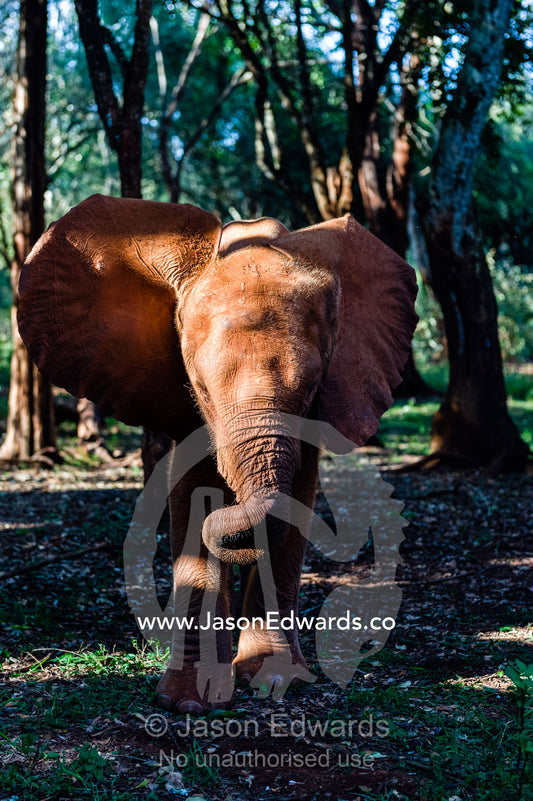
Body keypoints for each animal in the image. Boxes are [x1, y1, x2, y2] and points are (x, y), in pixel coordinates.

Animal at [18, 194, 418, 714]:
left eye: (312, 389)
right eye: (202, 390)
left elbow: (298, 500)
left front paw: (275, 681)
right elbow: (191, 494)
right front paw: (189, 704)